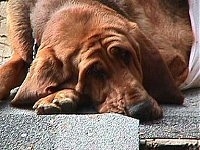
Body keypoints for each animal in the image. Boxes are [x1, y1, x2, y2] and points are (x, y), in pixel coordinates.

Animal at [0, 0, 194, 121]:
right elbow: (9, 68)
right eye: (94, 71)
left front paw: (58, 95)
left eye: (126, 55)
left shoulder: (176, 60)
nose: (142, 109)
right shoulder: (22, 51)